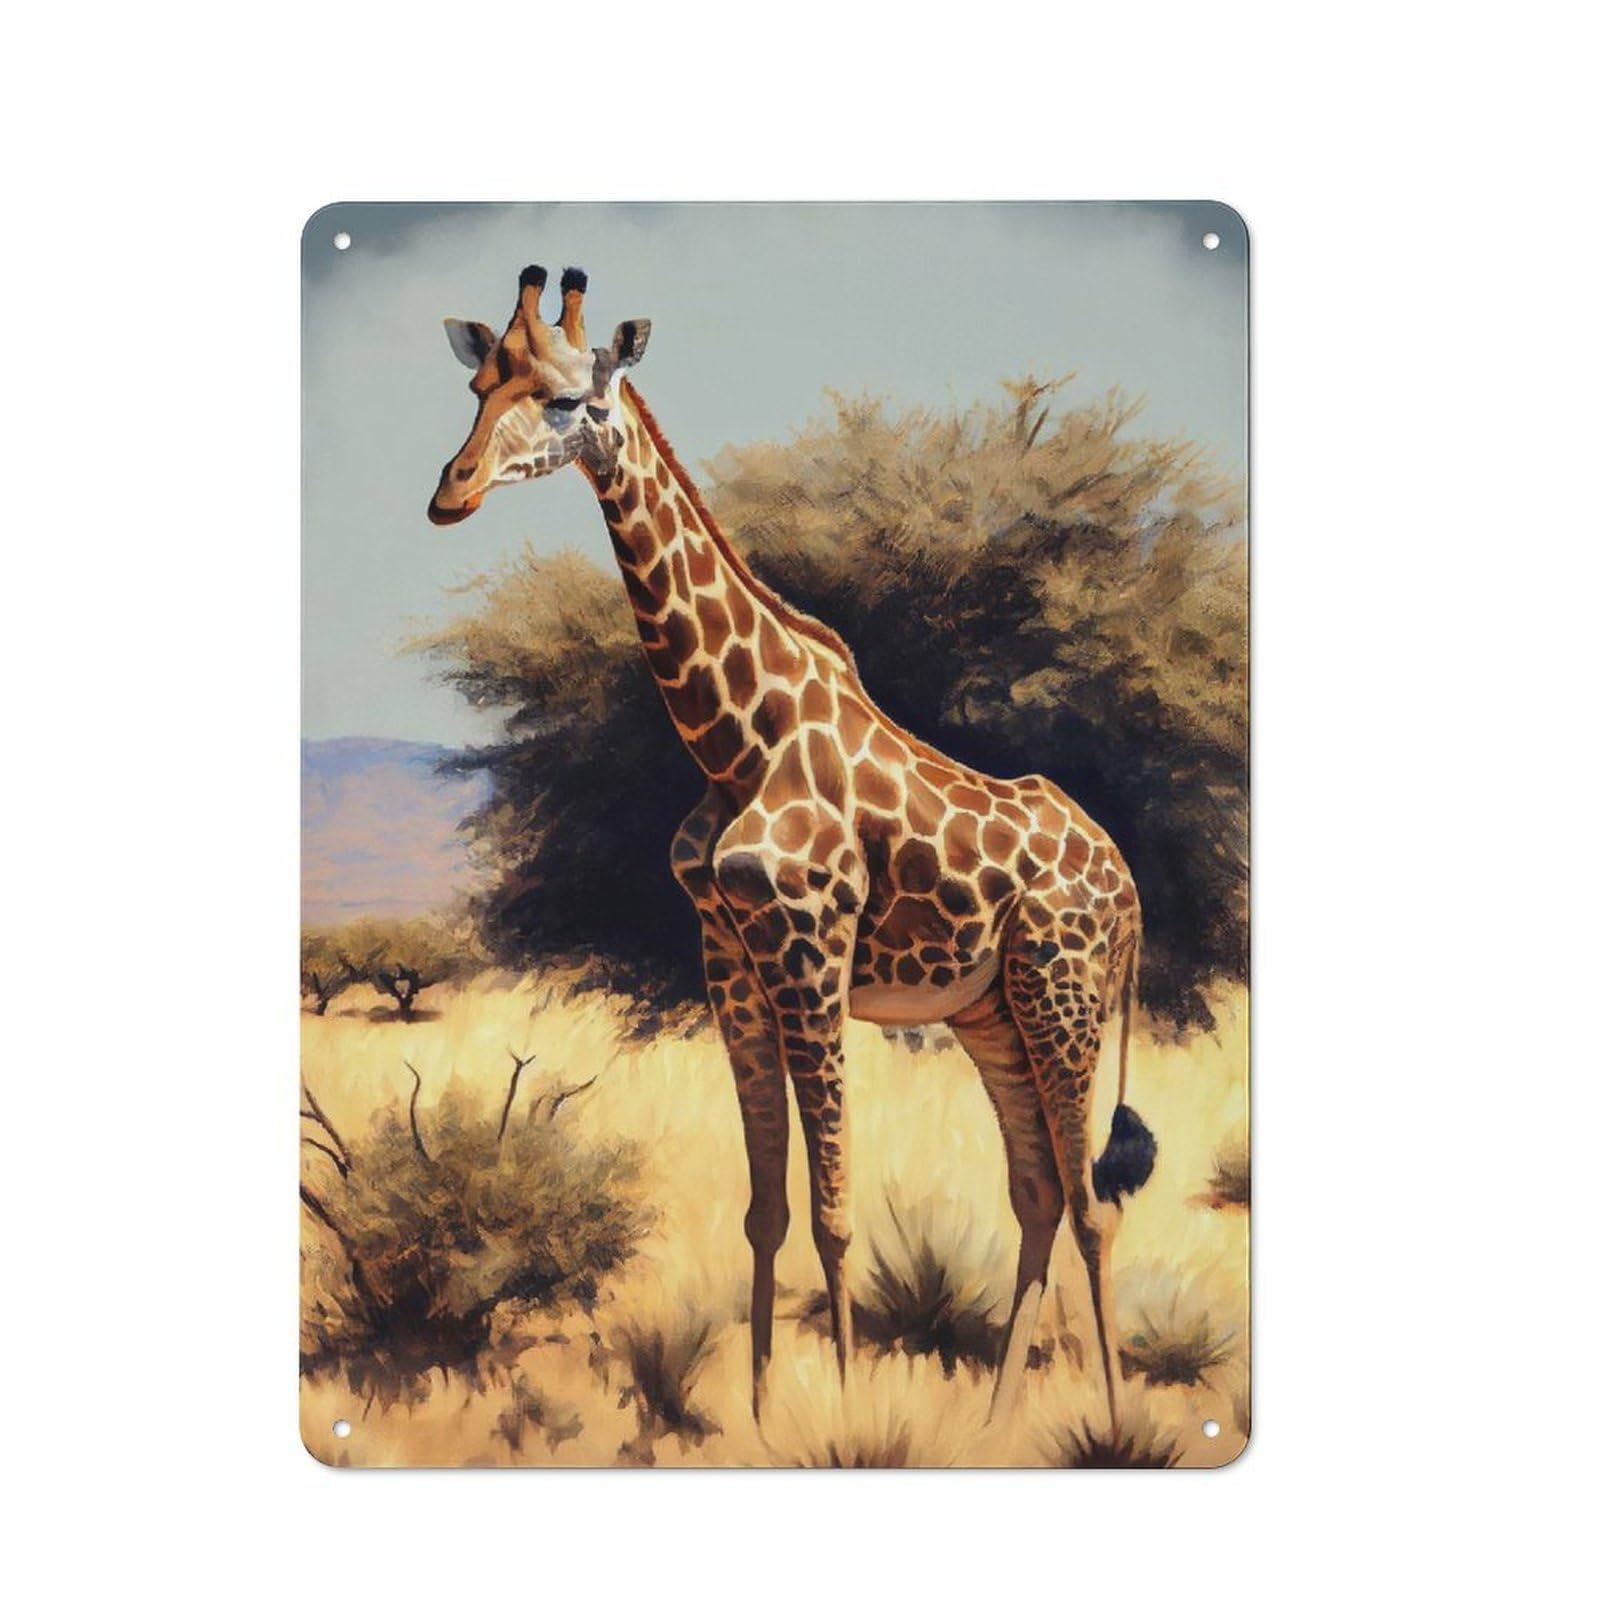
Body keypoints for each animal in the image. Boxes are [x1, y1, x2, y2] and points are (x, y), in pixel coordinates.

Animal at [426, 266, 1158, 1430]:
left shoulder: (812, 949)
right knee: (1040, 1190)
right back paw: (995, 1420)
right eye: (475, 385)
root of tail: (1127, 885)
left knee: (1092, 1204)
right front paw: (766, 1414)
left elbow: (833, 1212)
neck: (737, 740)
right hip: (990, 1012)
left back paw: (1116, 1421)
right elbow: (766, 1209)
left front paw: (848, 1419)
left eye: (569, 398)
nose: (450, 492)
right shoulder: (730, 960)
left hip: (1064, 991)